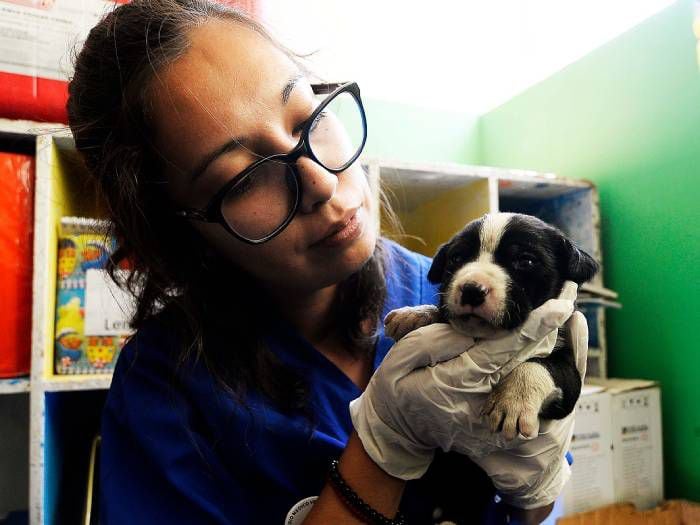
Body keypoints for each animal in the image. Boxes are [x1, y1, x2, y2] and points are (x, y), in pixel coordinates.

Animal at [386, 212, 600, 438]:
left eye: (526, 261)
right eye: (456, 258)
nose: (471, 290)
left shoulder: (570, 370)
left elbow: (537, 364)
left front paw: (513, 399)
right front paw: (416, 314)